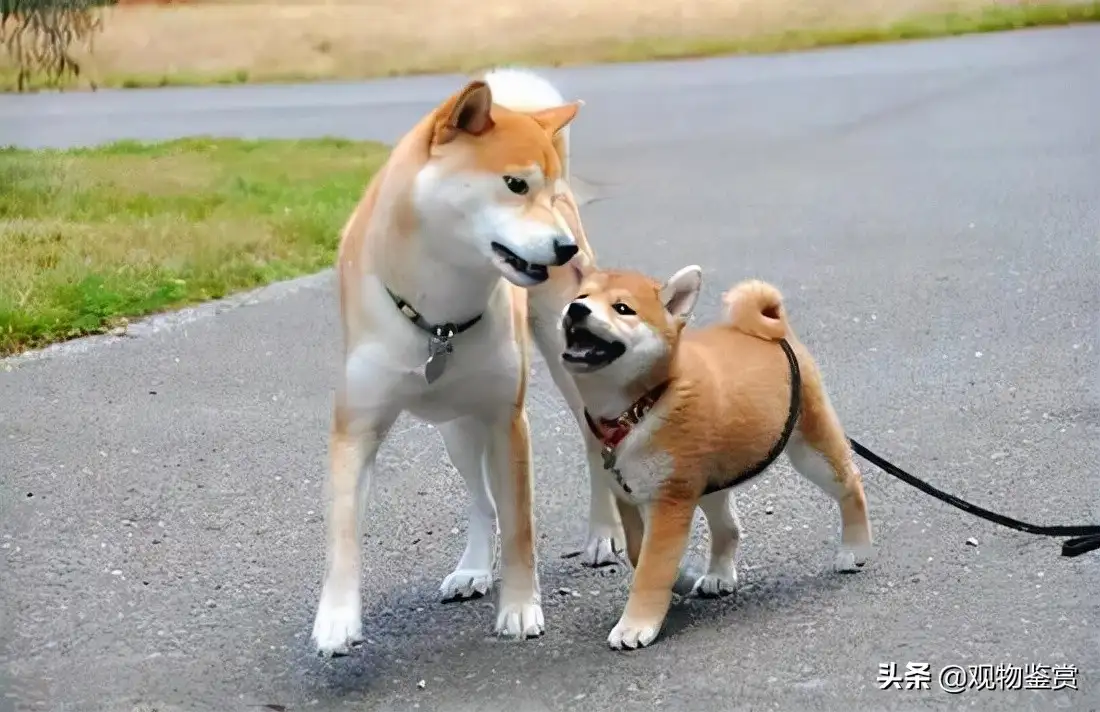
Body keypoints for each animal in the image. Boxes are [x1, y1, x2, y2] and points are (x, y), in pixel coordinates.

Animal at [563, 264, 871, 647]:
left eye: (622, 309)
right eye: (581, 297)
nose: (576, 310)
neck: (638, 410)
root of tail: (777, 333)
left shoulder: (670, 500)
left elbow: (650, 569)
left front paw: (636, 624)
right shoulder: (628, 497)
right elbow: (638, 553)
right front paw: (680, 577)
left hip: (810, 450)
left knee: (850, 482)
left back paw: (855, 548)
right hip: (712, 479)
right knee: (729, 528)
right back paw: (719, 575)